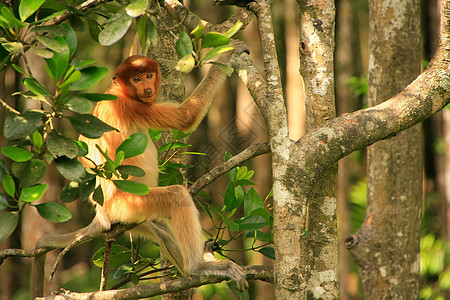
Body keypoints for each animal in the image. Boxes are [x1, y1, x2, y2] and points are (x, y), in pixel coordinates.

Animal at [35, 43, 248, 292]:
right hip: (128, 204)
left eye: (148, 75)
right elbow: (186, 117)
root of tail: (102, 213)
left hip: (133, 215)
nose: (147, 88)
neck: (122, 93)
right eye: (136, 79)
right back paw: (196, 267)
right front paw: (228, 55)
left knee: (160, 228)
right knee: (176, 196)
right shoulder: (134, 106)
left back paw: (191, 265)